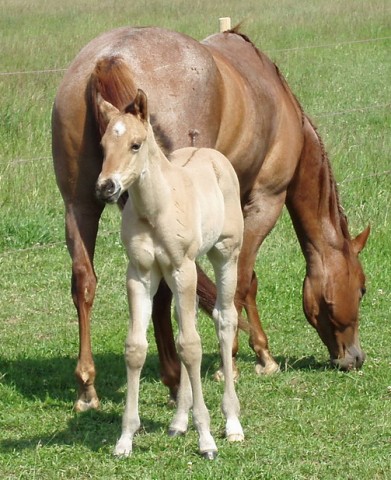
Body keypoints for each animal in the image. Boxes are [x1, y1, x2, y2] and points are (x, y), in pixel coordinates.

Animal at [52, 26, 370, 410]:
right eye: (362, 288)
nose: (355, 358)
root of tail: (109, 58)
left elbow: (245, 283)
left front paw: (257, 352)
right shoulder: (264, 201)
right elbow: (242, 282)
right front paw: (238, 360)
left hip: (79, 206)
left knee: (84, 284)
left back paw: (87, 388)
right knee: (163, 293)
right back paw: (175, 382)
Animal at [95, 88, 245, 460]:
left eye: (135, 144)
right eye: (103, 145)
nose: (106, 187)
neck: (156, 208)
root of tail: (207, 151)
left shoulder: (183, 269)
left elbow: (191, 346)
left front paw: (207, 440)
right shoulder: (140, 273)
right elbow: (137, 347)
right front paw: (125, 439)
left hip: (225, 255)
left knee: (224, 320)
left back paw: (232, 424)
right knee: (184, 327)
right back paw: (179, 422)